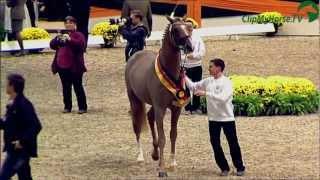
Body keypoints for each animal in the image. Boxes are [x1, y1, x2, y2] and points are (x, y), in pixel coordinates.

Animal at [124, 16, 192, 177]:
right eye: (176, 30)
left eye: (189, 27)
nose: (190, 46)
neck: (169, 72)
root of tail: (135, 56)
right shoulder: (161, 109)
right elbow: (162, 138)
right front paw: (162, 169)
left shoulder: (175, 109)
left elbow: (173, 134)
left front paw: (172, 163)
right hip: (134, 100)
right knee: (137, 125)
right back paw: (140, 156)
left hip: (153, 105)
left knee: (149, 116)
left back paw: (154, 154)